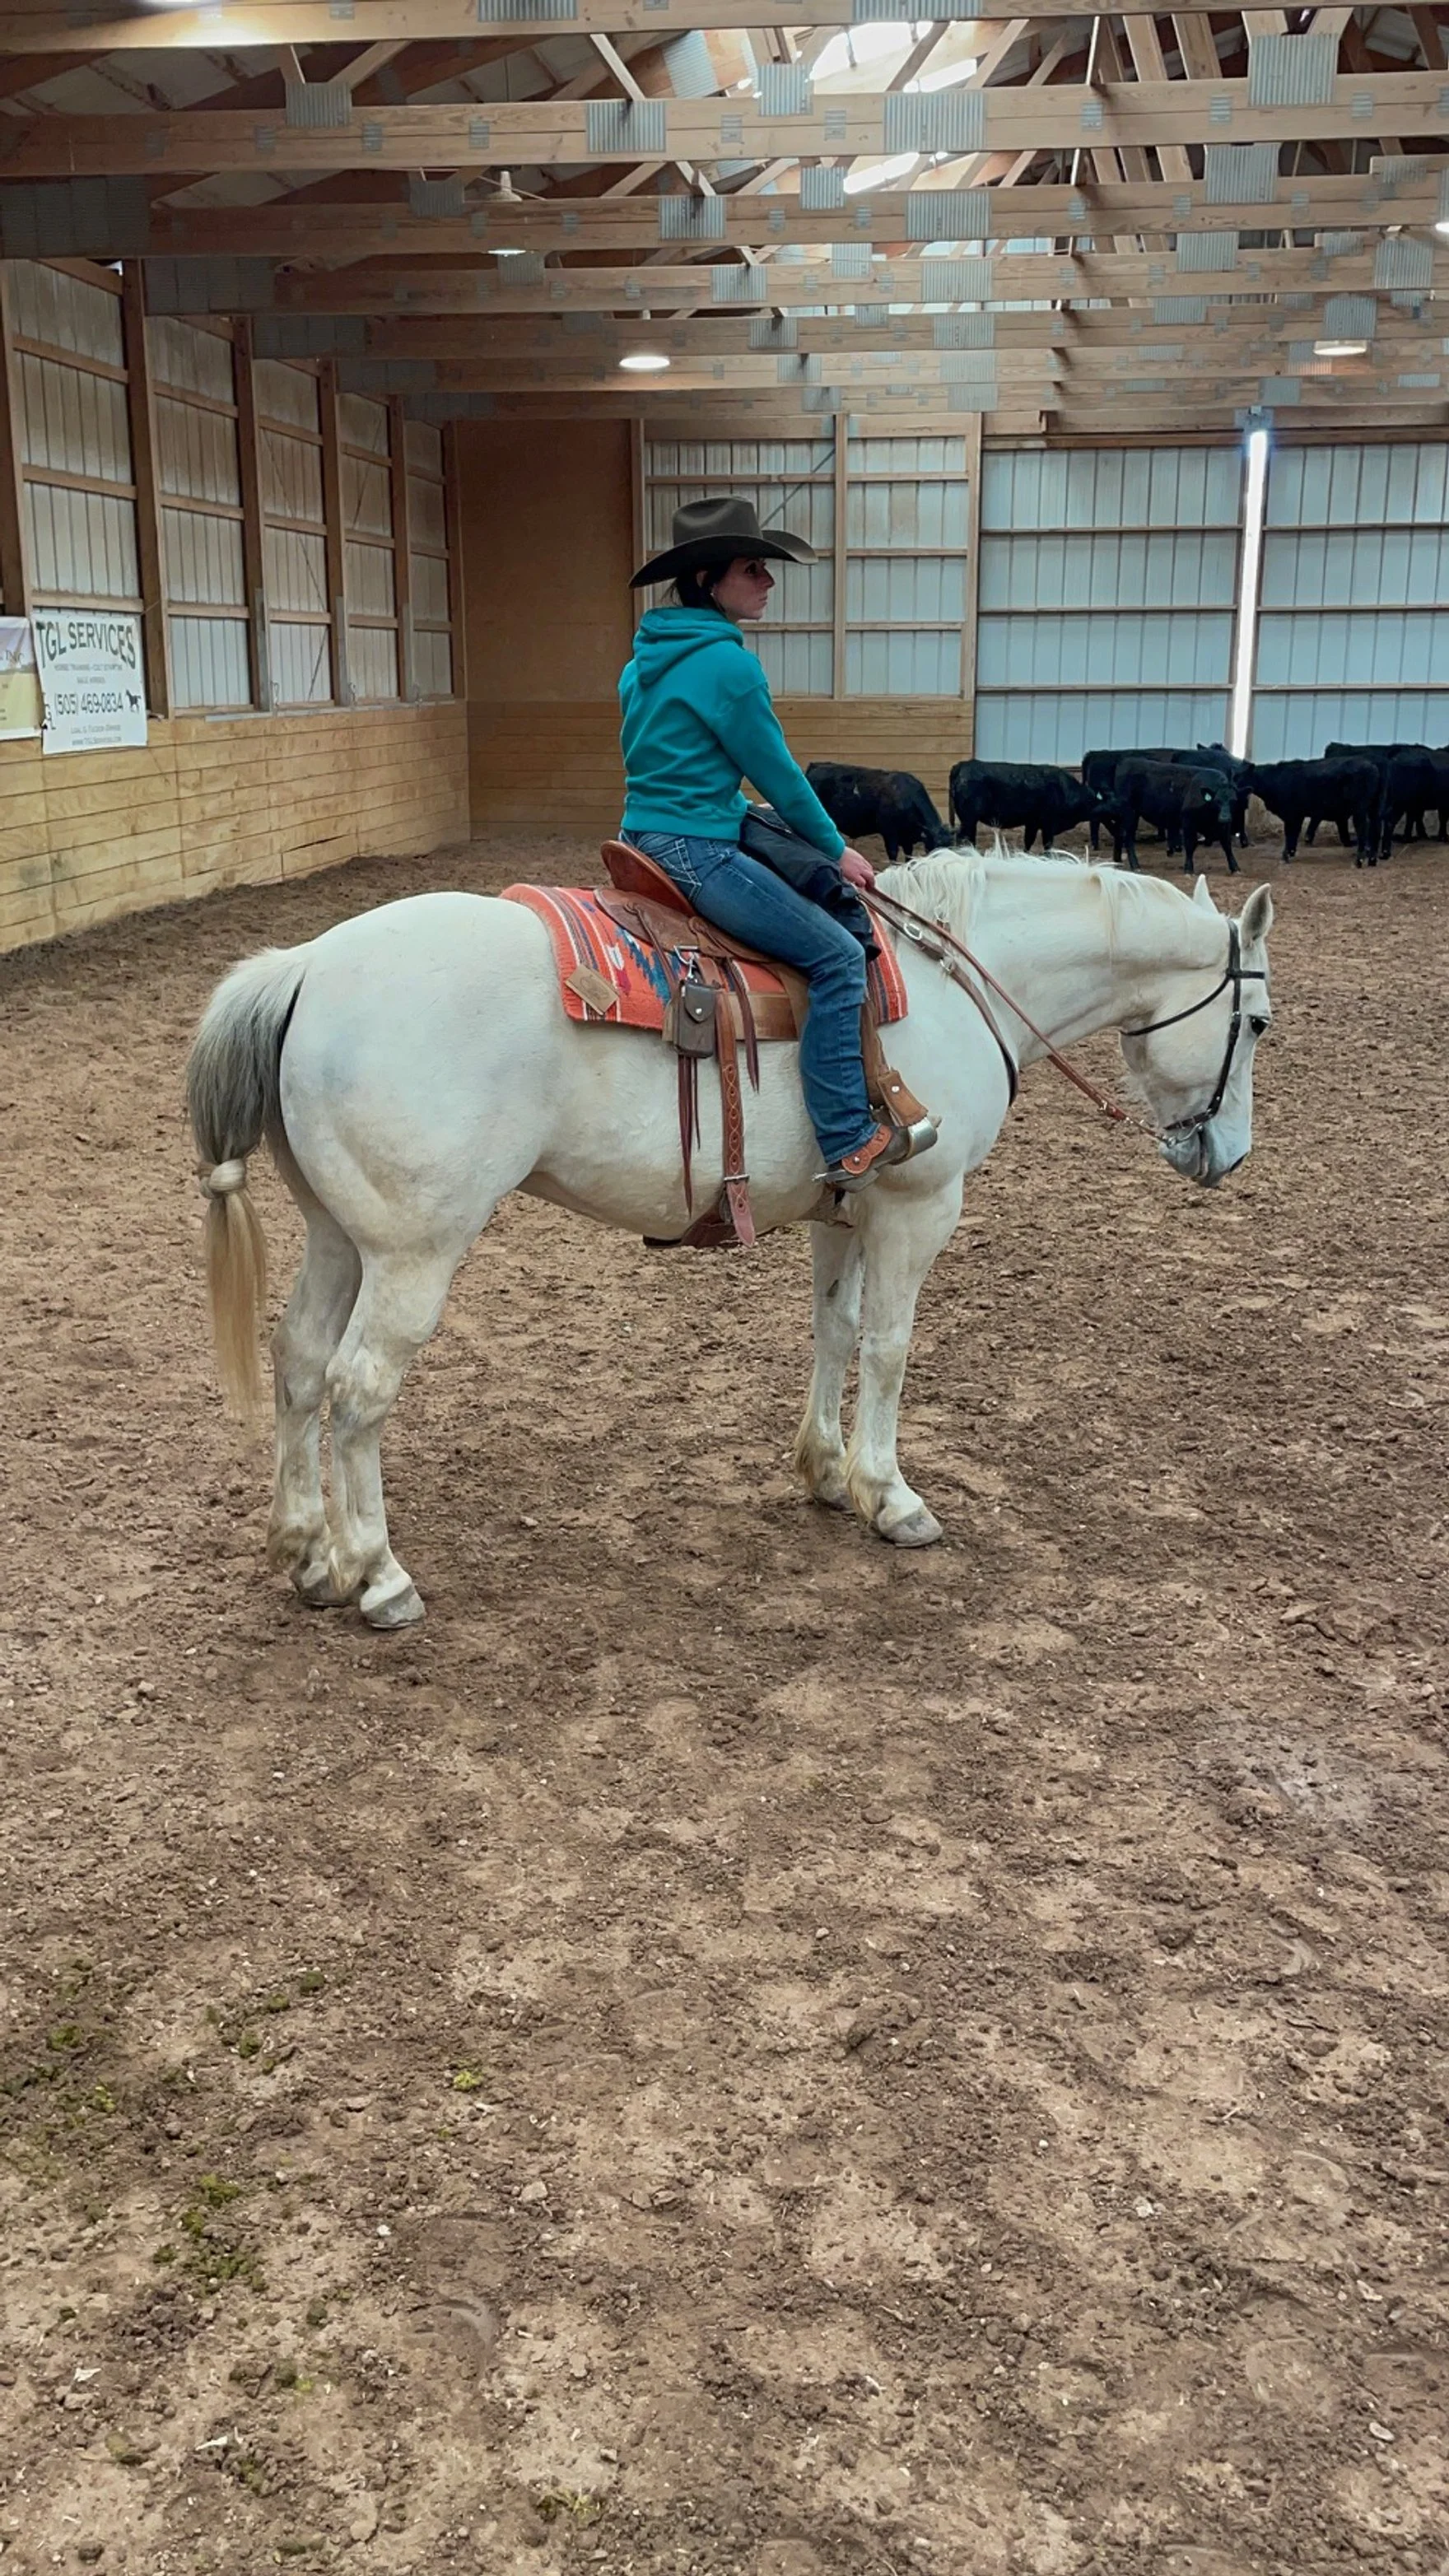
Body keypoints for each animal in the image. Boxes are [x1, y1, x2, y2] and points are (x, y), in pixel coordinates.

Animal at [805, 762, 954, 864]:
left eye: (951, 847)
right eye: (935, 848)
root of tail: (815, 766)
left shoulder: (907, 839)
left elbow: (908, 857)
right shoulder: (889, 833)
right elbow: (893, 855)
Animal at [949, 759, 1110, 851]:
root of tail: (963, 765)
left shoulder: (1032, 823)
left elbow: (1028, 842)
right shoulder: (1048, 824)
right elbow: (1047, 846)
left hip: (969, 821)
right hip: (969, 820)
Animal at [1112, 759, 1238, 876]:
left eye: (1233, 801)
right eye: (1217, 801)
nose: (1225, 817)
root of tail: (1127, 761)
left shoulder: (1225, 826)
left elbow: (1227, 845)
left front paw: (1235, 868)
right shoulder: (1188, 821)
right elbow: (1190, 844)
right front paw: (1189, 869)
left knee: (1120, 835)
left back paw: (1117, 862)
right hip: (1129, 813)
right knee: (1128, 838)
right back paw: (1135, 866)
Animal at [1242, 756, 1380, 865]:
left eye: (1240, 776)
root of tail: (1372, 766)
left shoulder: (1292, 814)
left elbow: (1290, 833)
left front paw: (1285, 856)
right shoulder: (1298, 815)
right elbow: (1294, 833)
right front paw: (1290, 853)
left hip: (1359, 810)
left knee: (1363, 830)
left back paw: (1359, 860)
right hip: (1372, 809)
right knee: (1374, 829)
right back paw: (1371, 859)